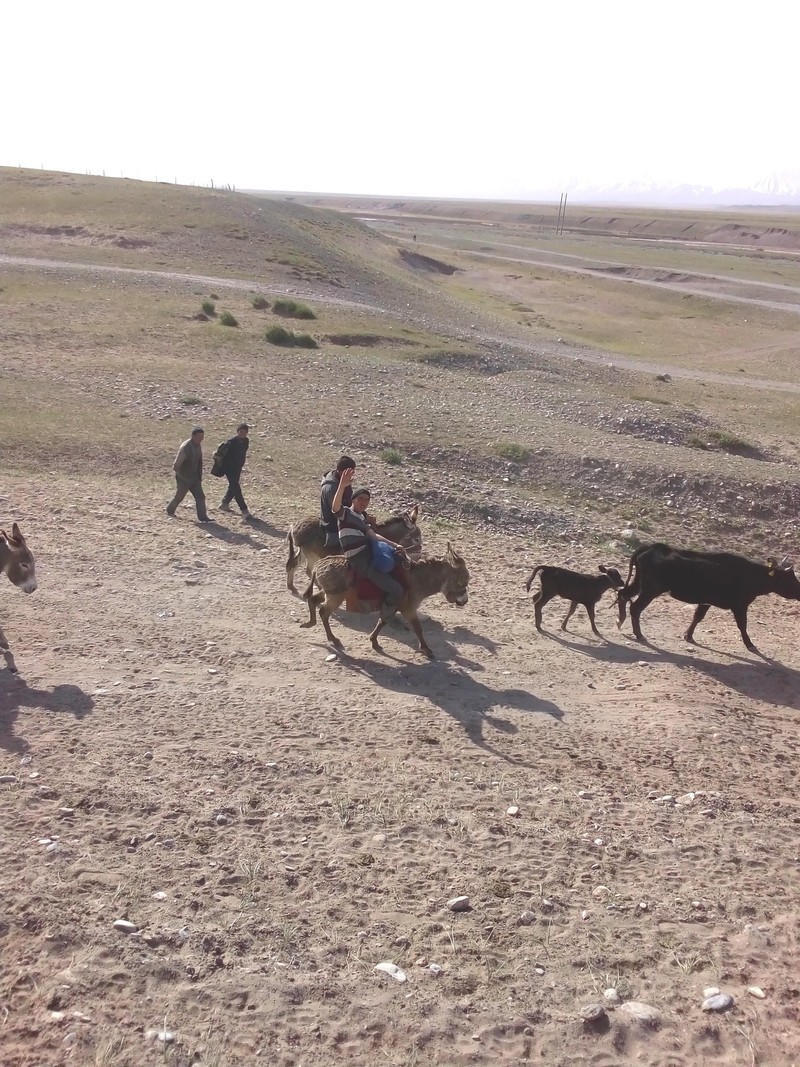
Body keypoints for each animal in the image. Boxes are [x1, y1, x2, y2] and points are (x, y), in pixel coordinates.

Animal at [618, 542, 800, 648]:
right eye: (790, 579)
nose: (799, 592)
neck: (750, 575)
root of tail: (651, 547)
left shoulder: (706, 601)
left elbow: (697, 617)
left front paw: (688, 636)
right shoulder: (739, 605)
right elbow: (742, 625)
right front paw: (749, 644)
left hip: (639, 583)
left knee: (623, 594)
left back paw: (620, 621)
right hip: (650, 589)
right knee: (635, 608)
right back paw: (639, 634)